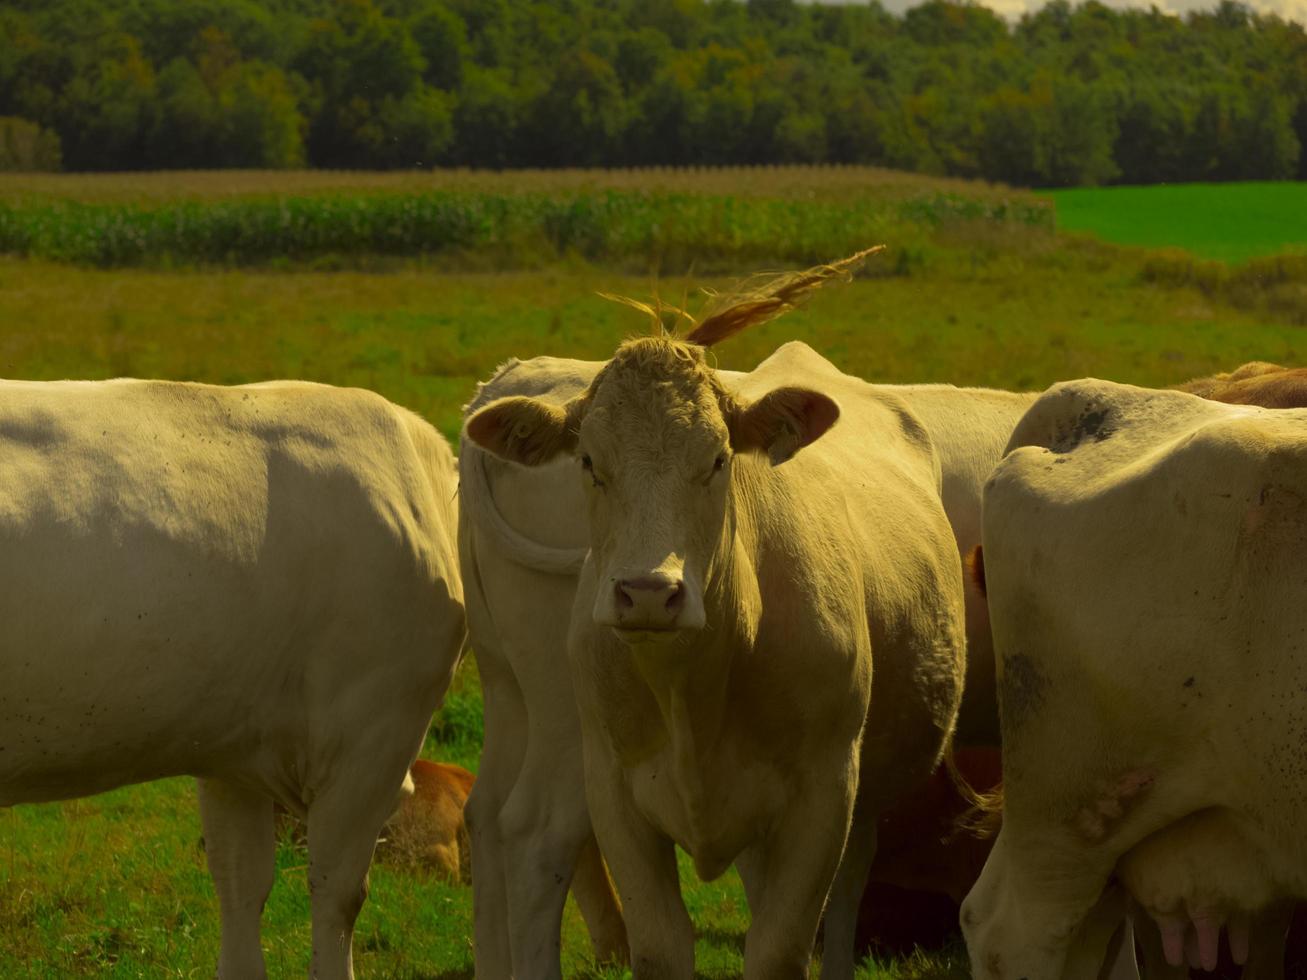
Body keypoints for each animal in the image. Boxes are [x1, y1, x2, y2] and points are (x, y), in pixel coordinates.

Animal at [460, 350, 1029, 977]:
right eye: (588, 461)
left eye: (717, 459)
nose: (649, 593)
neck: (693, 689)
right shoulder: (612, 788)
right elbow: (660, 947)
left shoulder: (823, 793)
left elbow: (779, 947)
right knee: (535, 833)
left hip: (510, 691)